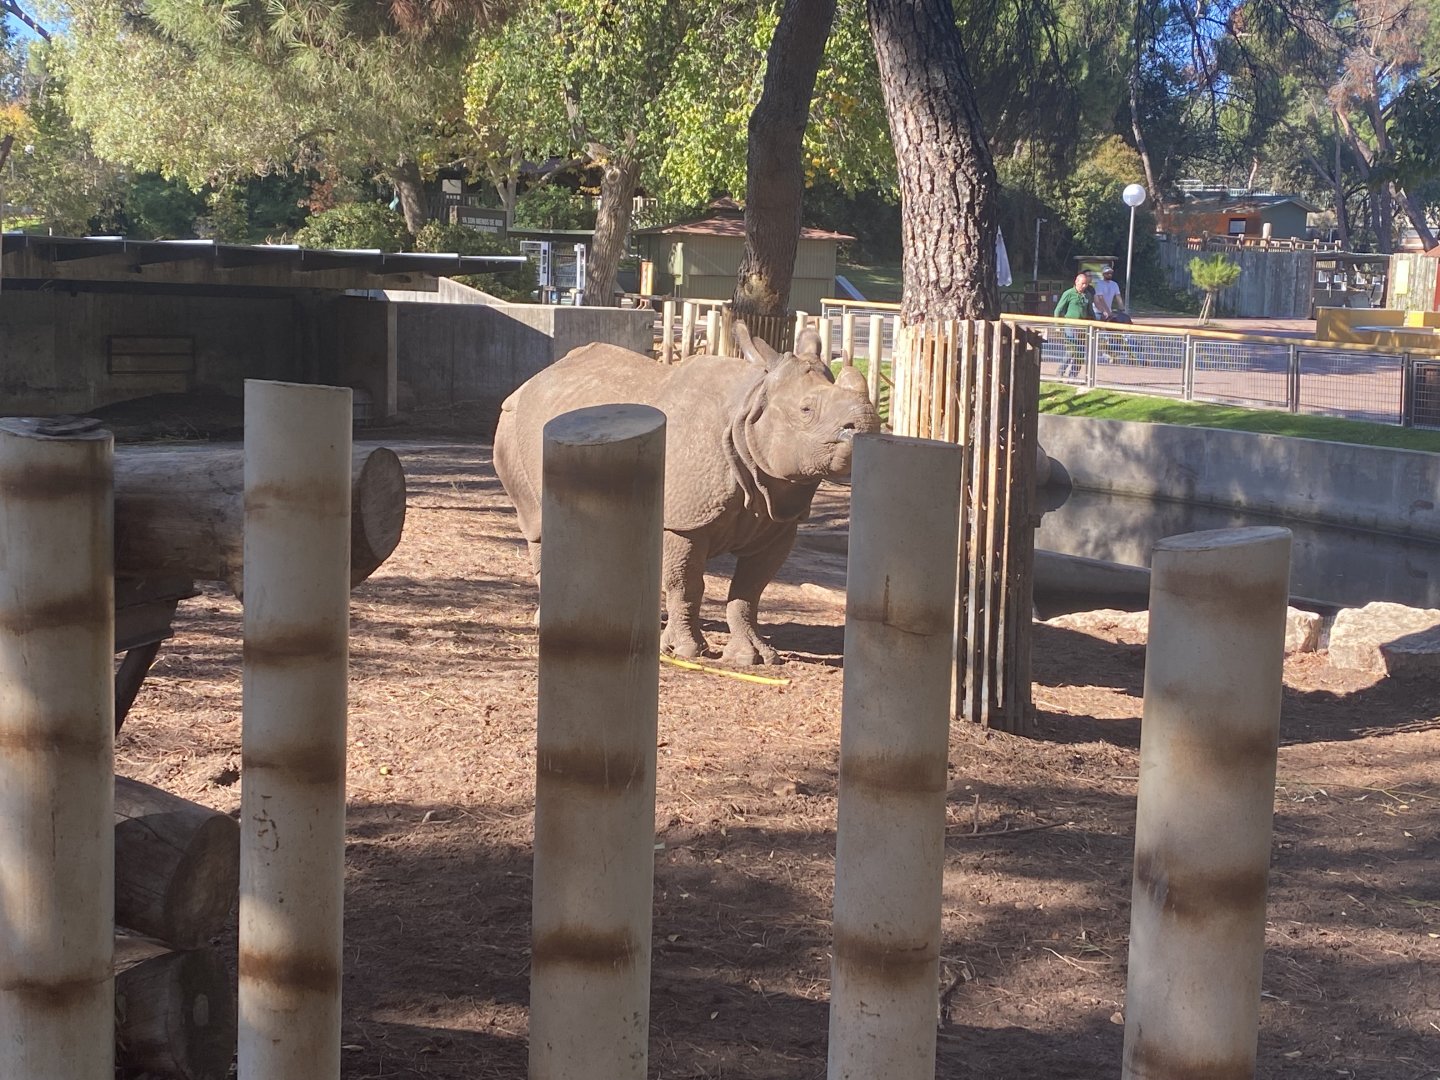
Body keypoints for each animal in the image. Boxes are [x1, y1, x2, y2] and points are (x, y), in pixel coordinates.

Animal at [493, 324, 881, 665]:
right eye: (806, 410)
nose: (865, 425)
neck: (750, 407)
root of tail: (535, 377)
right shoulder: (683, 521)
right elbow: (686, 584)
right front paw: (686, 651)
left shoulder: (780, 519)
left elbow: (750, 591)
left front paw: (753, 657)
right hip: (510, 423)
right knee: (537, 524)